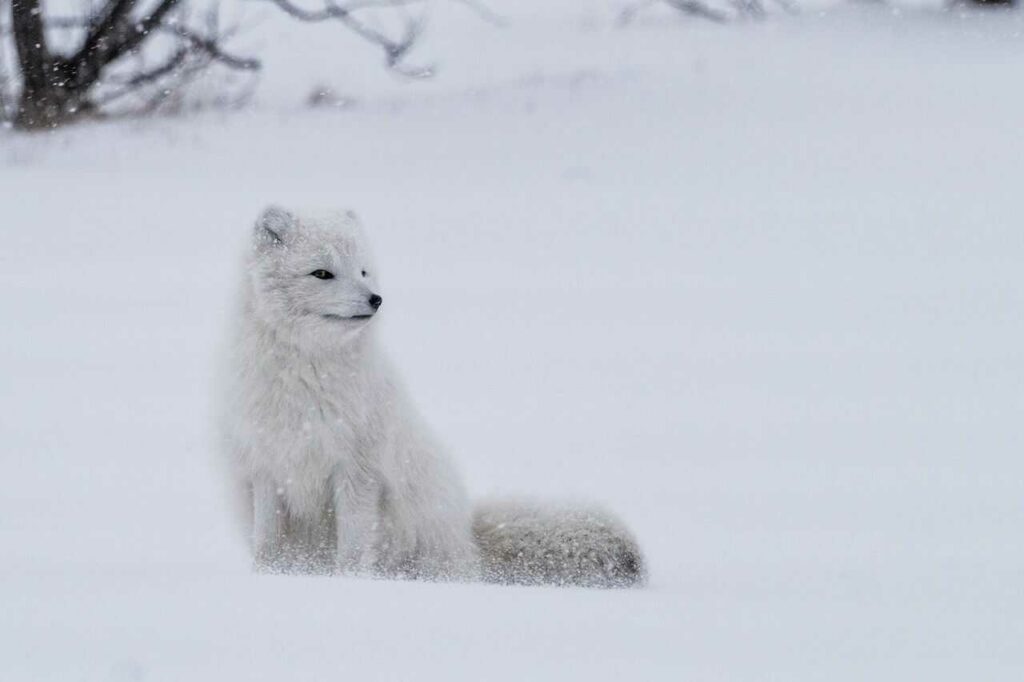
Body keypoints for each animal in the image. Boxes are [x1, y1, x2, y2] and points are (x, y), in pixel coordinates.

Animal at [220, 205, 643, 585]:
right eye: (322, 273)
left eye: (363, 270)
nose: (376, 299)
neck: (306, 376)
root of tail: (469, 540)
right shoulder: (267, 467)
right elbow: (267, 542)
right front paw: (271, 578)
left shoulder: (357, 469)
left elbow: (353, 547)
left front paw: (348, 583)